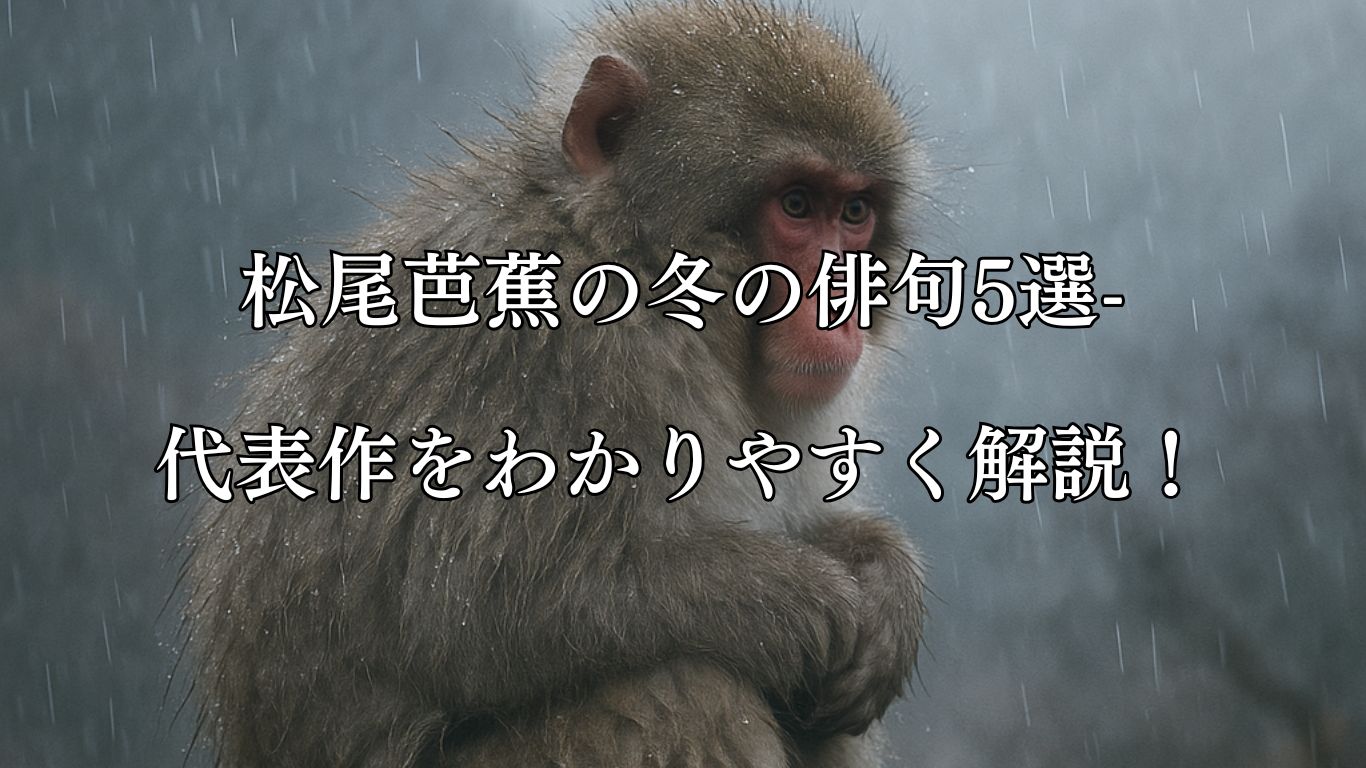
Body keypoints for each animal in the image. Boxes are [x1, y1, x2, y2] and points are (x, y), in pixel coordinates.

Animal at [185, 2, 928, 766]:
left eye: (855, 213)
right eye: (798, 204)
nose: (844, 296)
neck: (625, 256)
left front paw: (881, 571)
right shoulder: (541, 351)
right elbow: (476, 604)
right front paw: (809, 603)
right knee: (675, 690)